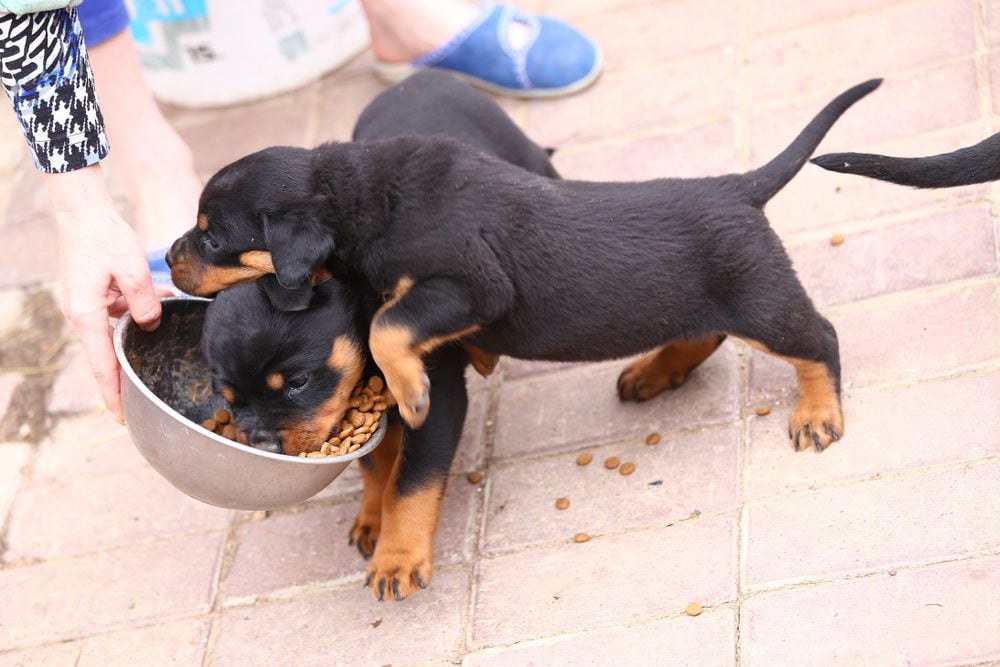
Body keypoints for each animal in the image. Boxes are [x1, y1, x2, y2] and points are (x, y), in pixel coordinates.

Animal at [195, 70, 564, 604]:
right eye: (226, 396)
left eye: (298, 382)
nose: (263, 445)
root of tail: (421, 76)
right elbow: (376, 464)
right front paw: (373, 518)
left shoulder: (437, 398)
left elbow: (411, 481)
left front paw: (397, 557)